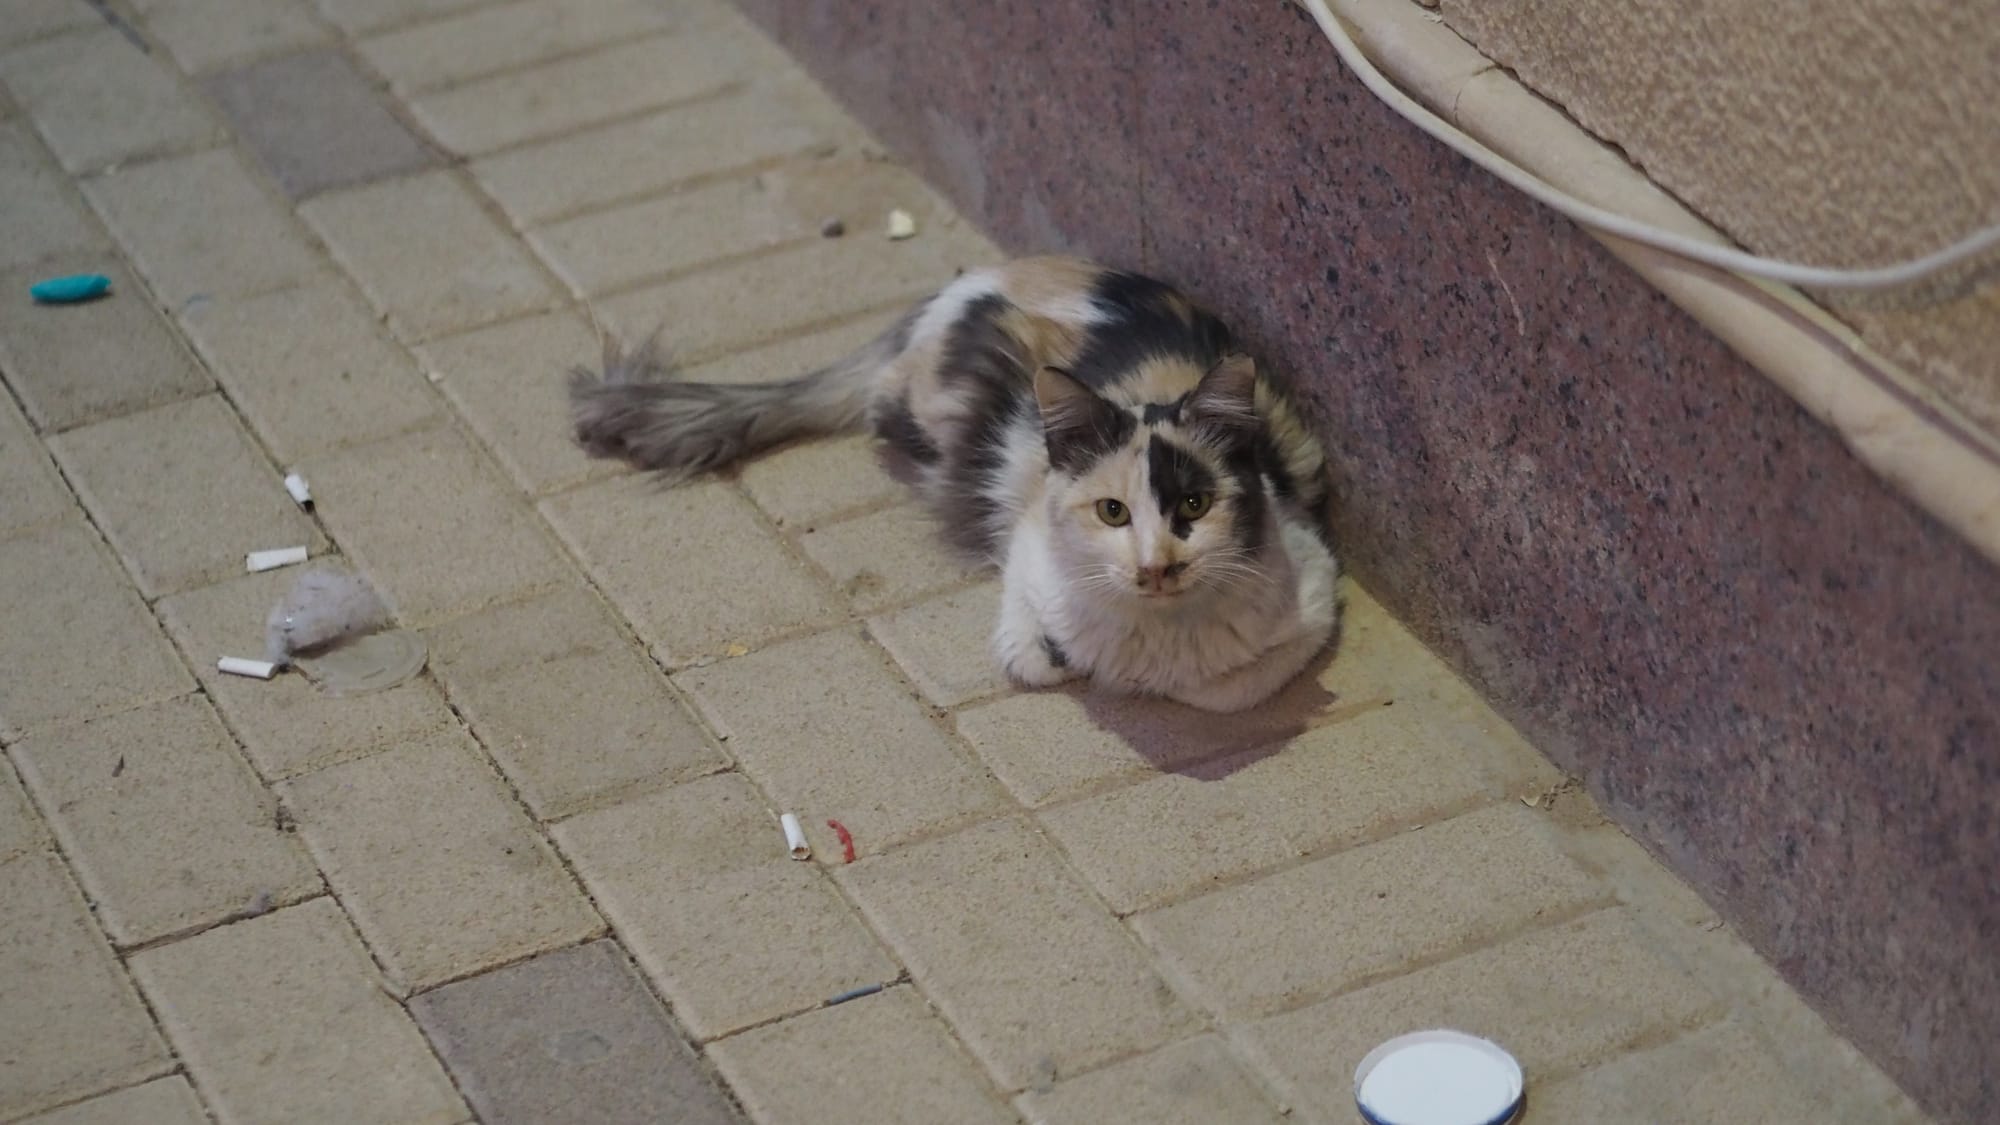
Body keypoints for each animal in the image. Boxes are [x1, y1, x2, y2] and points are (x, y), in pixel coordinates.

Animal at [569, 256, 1339, 712]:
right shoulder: (1028, 545)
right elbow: (1030, 643)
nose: (1155, 567)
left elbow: (1231, 685)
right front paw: (1054, 656)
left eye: (1195, 505)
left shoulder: (1313, 581)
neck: (1156, 631)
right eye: (1113, 512)